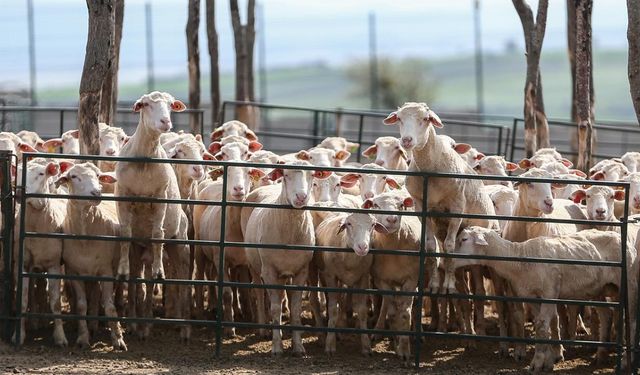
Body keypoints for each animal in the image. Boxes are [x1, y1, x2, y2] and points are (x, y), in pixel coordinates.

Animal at [55, 163, 126, 352]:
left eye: (98, 175)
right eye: (73, 176)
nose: (96, 193)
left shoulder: (106, 270)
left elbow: (109, 306)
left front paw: (118, 340)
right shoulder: (74, 272)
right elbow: (81, 306)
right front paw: (82, 338)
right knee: (94, 295)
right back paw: (92, 326)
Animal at [114, 91, 191, 340]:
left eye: (171, 105)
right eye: (146, 104)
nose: (165, 121)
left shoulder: (160, 197)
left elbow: (158, 234)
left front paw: (159, 271)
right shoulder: (123, 197)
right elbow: (125, 235)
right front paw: (121, 270)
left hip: (180, 244)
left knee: (182, 280)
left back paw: (184, 327)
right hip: (139, 249)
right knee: (138, 280)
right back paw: (139, 324)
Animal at [242, 162, 332, 356]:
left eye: (312, 176)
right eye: (286, 175)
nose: (301, 197)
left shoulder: (301, 271)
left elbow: (296, 307)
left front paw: (298, 346)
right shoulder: (269, 271)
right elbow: (275, 307)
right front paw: (277, 347)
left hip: (285, 273)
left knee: (284, 296)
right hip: (254, 264)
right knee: (259, 292)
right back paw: (263, 329)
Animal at [316, 213, 380, 356]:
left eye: (373, 224)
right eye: (349, 224)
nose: (363, 247)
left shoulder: (363, 277)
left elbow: (362, 310)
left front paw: (366, 346)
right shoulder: (331, 276)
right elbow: (333, 309)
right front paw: (330, 344)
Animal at [452, 228, 636, 374]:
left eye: (464, 239)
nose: (449, 258)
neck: (520, 260)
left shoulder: (549, 292)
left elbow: (541, 325)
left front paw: (537, 363)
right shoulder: (532, 297)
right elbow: (542, 327)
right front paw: (548, 360)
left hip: (629, 283)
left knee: (632, 320)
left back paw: (626, 361)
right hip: (599, 288)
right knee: (607, 314)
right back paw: (601, 355)